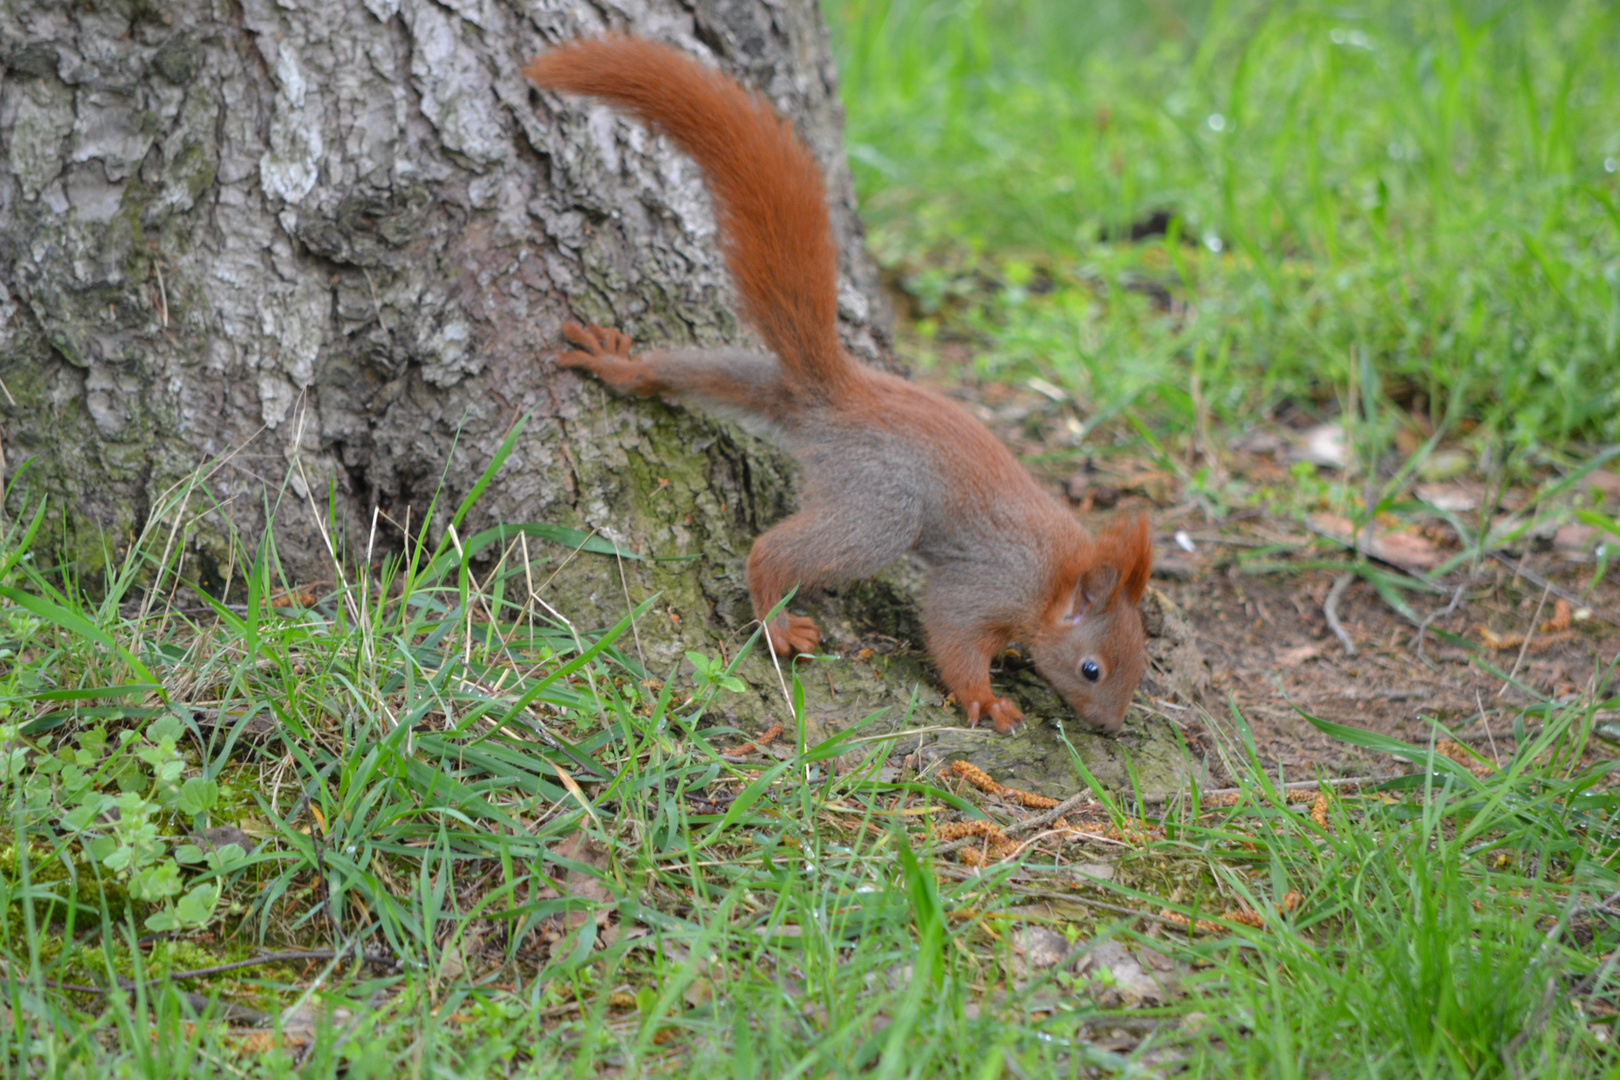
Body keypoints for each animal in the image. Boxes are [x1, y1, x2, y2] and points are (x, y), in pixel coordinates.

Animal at [521, 40, 1153, 735]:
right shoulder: (990, 584)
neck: (1055, 581)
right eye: (1091, 668)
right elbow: (951, 627)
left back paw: (621, 369)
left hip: (761, 385)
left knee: (691, 373)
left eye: (1141, 664)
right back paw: (777, 623)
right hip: (880, 506)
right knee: (774, 550)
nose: (1110, 727)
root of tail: (842, 393)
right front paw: (985, 699)